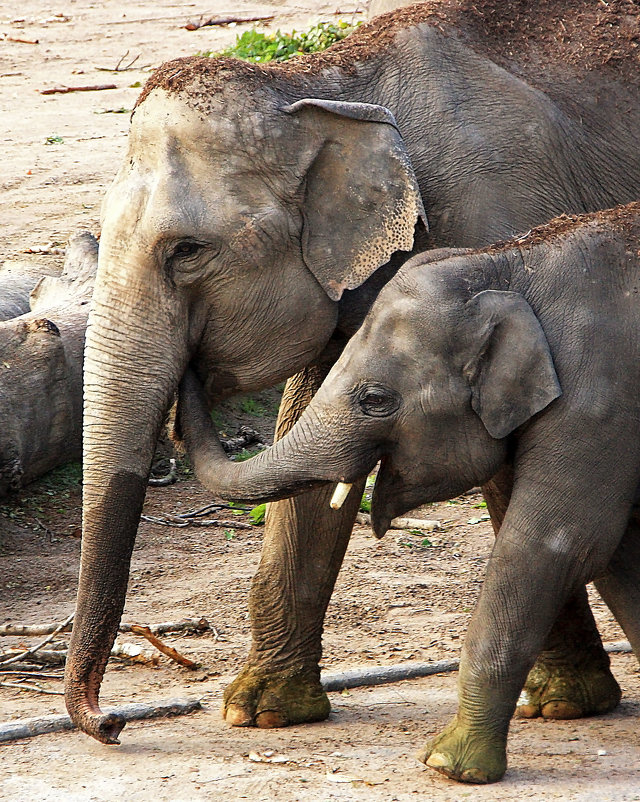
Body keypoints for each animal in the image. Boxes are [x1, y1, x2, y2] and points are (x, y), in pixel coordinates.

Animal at [178, 200, 640, 780]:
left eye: (375, 399)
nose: (196, 364)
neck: (512, 263)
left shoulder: (598, 400)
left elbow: (563, 544)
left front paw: (449, 764)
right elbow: (620, 555)